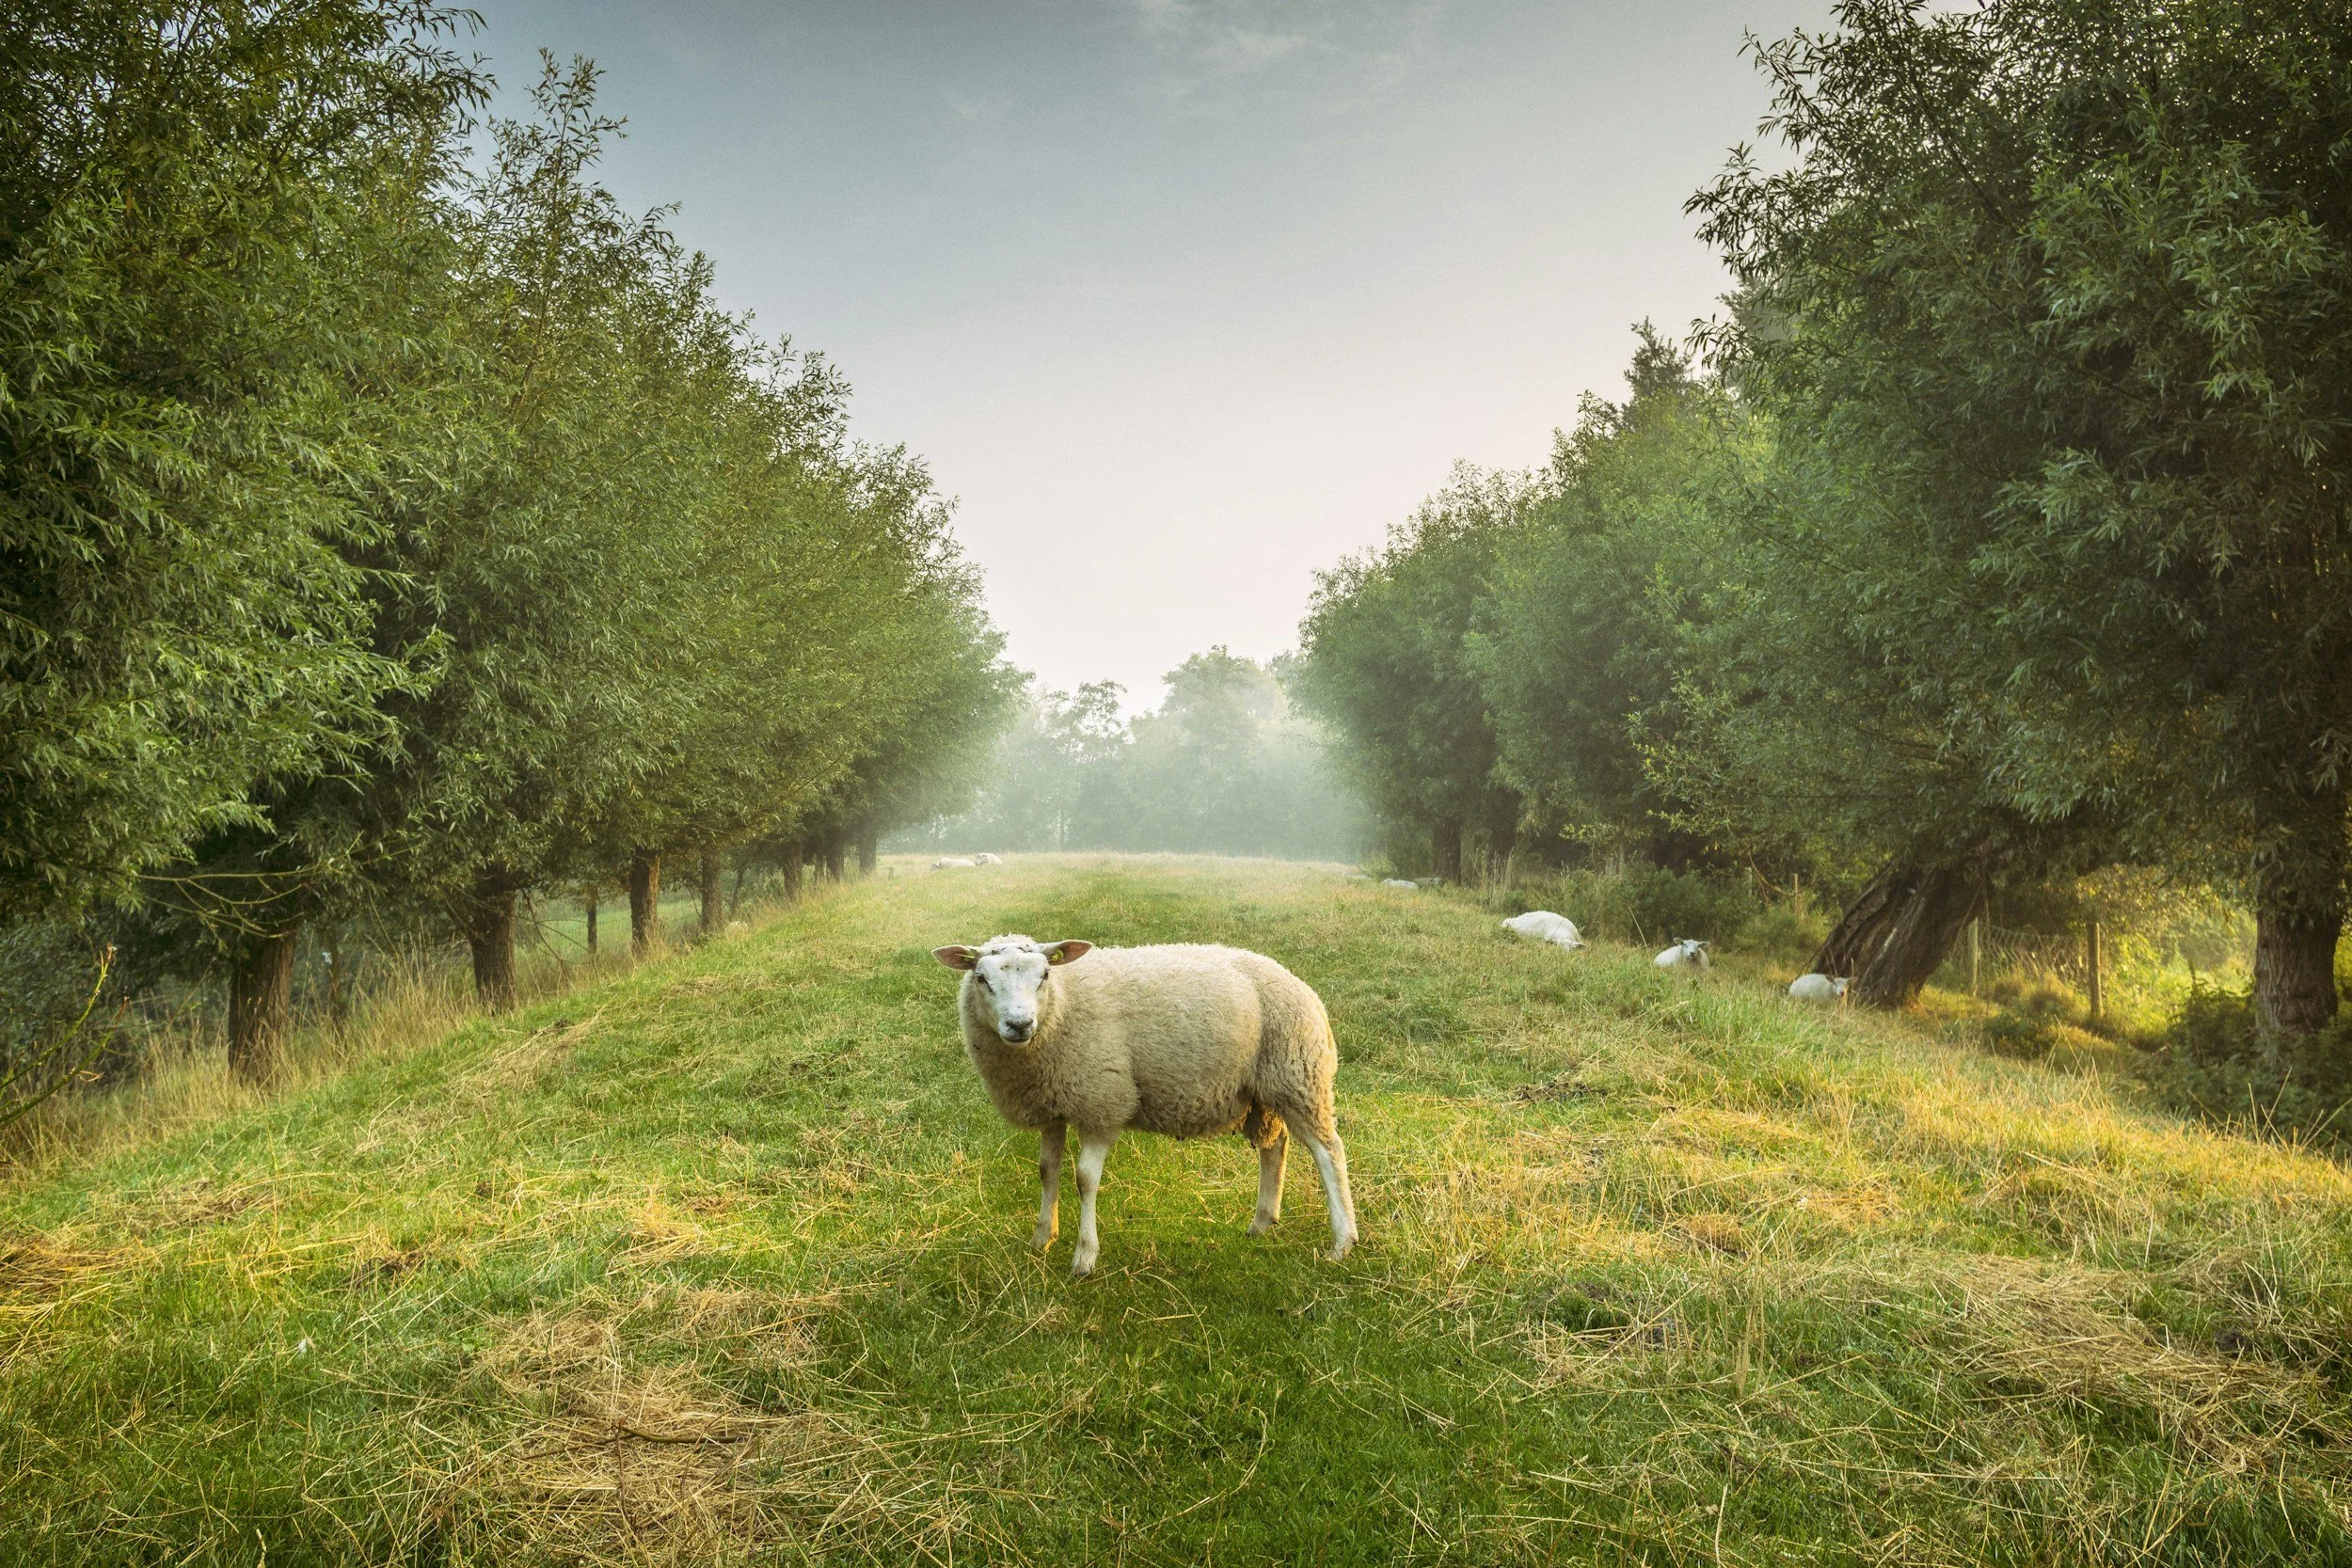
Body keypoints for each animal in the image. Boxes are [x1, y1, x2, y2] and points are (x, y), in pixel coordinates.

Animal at [932, 933, 1358, 1276]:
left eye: (1045, 975)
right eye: (982, 978)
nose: (1020, 1025)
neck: (1062, 1007)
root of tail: (1298, 983)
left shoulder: (1102, 1102)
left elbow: (1084, 1180)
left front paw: (1084, 1257)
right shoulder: (1052, 1106)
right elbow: (1047, 1171)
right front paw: (1042, 1238)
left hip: (1298, 1074)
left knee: (1328, 1151)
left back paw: (1342, 1241)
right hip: (1264, 1091)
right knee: (1276, 1146)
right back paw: (1262, 1222)